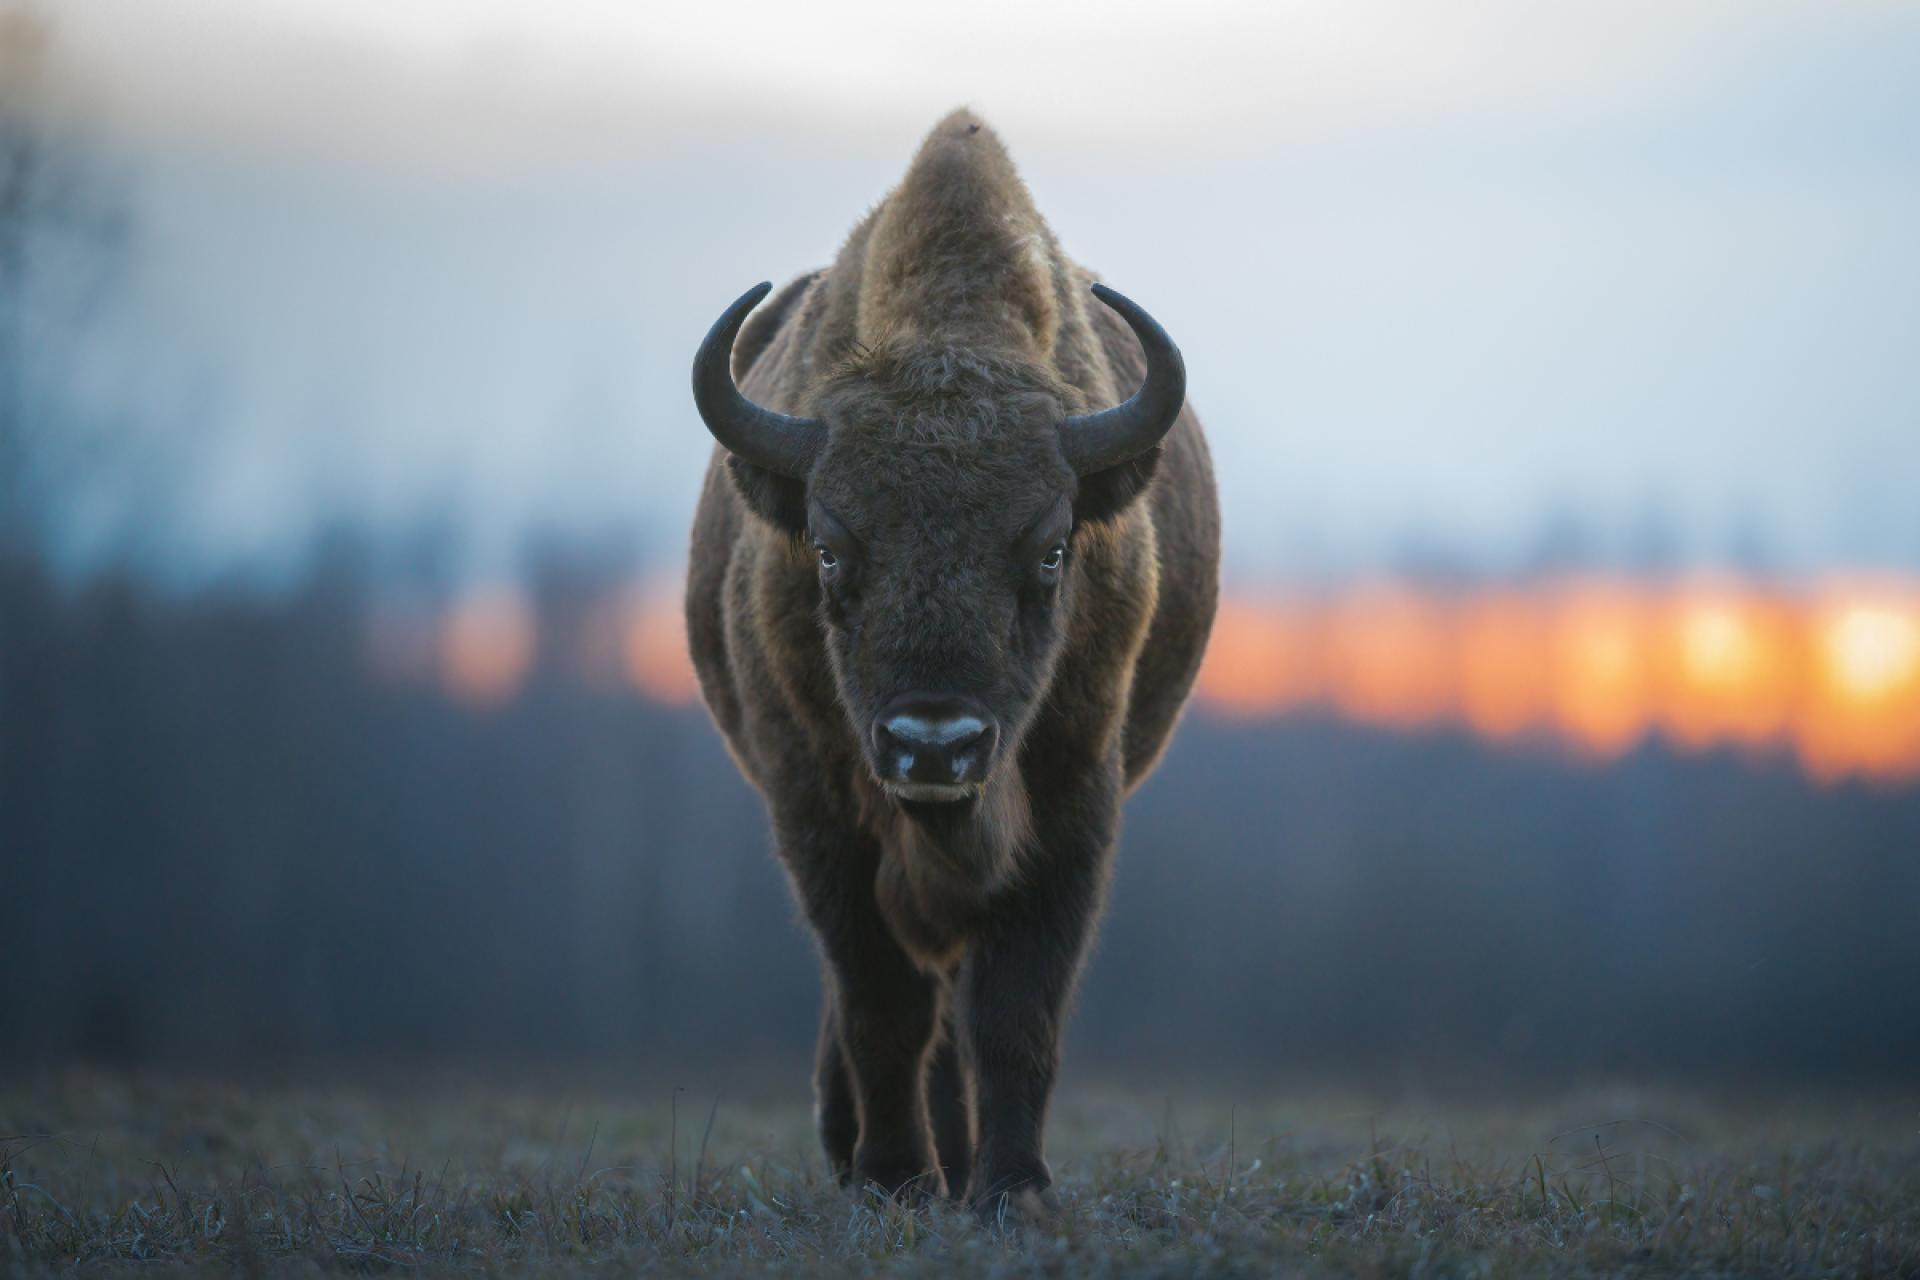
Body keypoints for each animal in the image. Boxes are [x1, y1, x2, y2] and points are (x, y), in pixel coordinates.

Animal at [683, 110, 1213, 1212]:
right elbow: (882, 1002)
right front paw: (893, 1175)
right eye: (829, 546)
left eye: (1051, 548)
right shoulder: (818, 811)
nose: (936, 744)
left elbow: (1014, 1011)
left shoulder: (1071, 807)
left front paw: (1011, 1184)